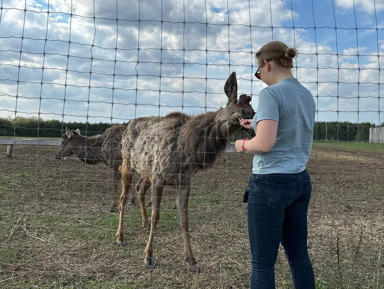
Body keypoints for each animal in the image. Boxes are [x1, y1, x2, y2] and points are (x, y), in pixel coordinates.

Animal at [117, 71, 255, 272]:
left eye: (252, 109)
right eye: (239, 107)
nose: (251, 117)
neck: (188, 148)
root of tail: (127, 126)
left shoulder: (184, 181)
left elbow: (184, 219)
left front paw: (191, 260)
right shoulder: (159, 177)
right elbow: (156, 215)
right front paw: (148, 257)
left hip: (146, 172)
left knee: (139, 189)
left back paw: (144, 224)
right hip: (128, 162)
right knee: (123, 197)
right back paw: (120, 236)